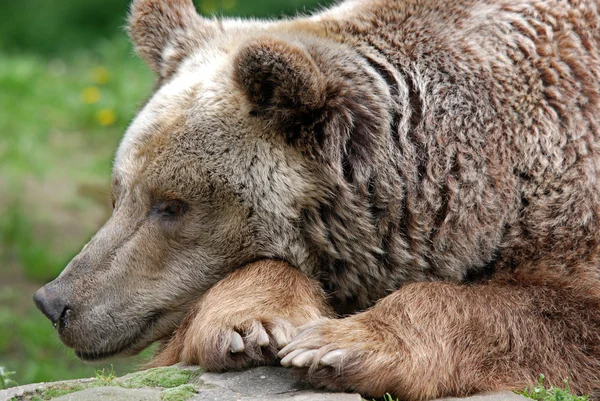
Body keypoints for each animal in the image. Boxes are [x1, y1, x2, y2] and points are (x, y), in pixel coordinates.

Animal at [34, 0, 600, 396]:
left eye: (171, 204)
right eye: (119, 193)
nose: (56, 302)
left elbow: (556, 315)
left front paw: (339, 345)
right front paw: (253, 324)